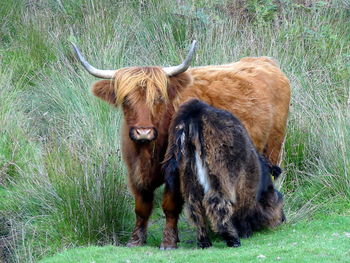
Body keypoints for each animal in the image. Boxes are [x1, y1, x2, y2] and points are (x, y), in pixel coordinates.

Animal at [163, 99, 286, 250]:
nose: (282, 219)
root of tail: (194, 113)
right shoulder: (245, 187)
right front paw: (245, 231)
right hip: (220, 175)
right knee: (217, 204)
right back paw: (232, 238)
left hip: (189, 178)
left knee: (195, 209)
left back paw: (204, 241)